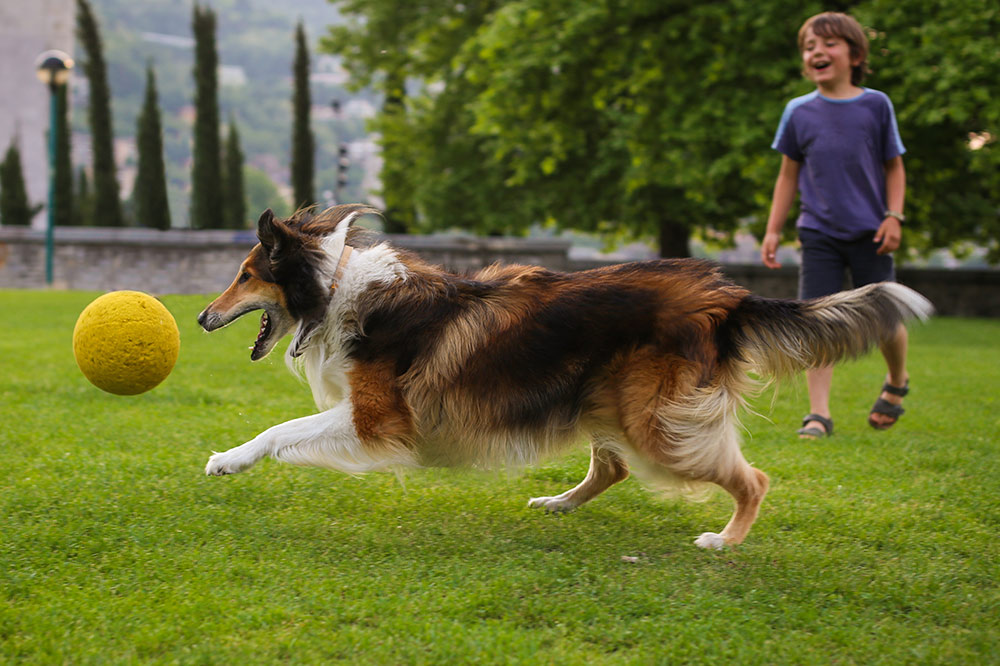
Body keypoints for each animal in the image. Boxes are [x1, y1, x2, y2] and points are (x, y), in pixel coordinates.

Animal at [199, 205, 932, 548]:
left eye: (246, 274)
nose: (203, 317)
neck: (334, 287)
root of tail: (726, 297)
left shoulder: (378, 417)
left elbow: (280, 429)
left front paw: (227, 459)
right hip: (605, 402)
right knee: (612, 467)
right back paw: (557, 503)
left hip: (658, 424)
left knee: (752, 479)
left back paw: (724, 539)